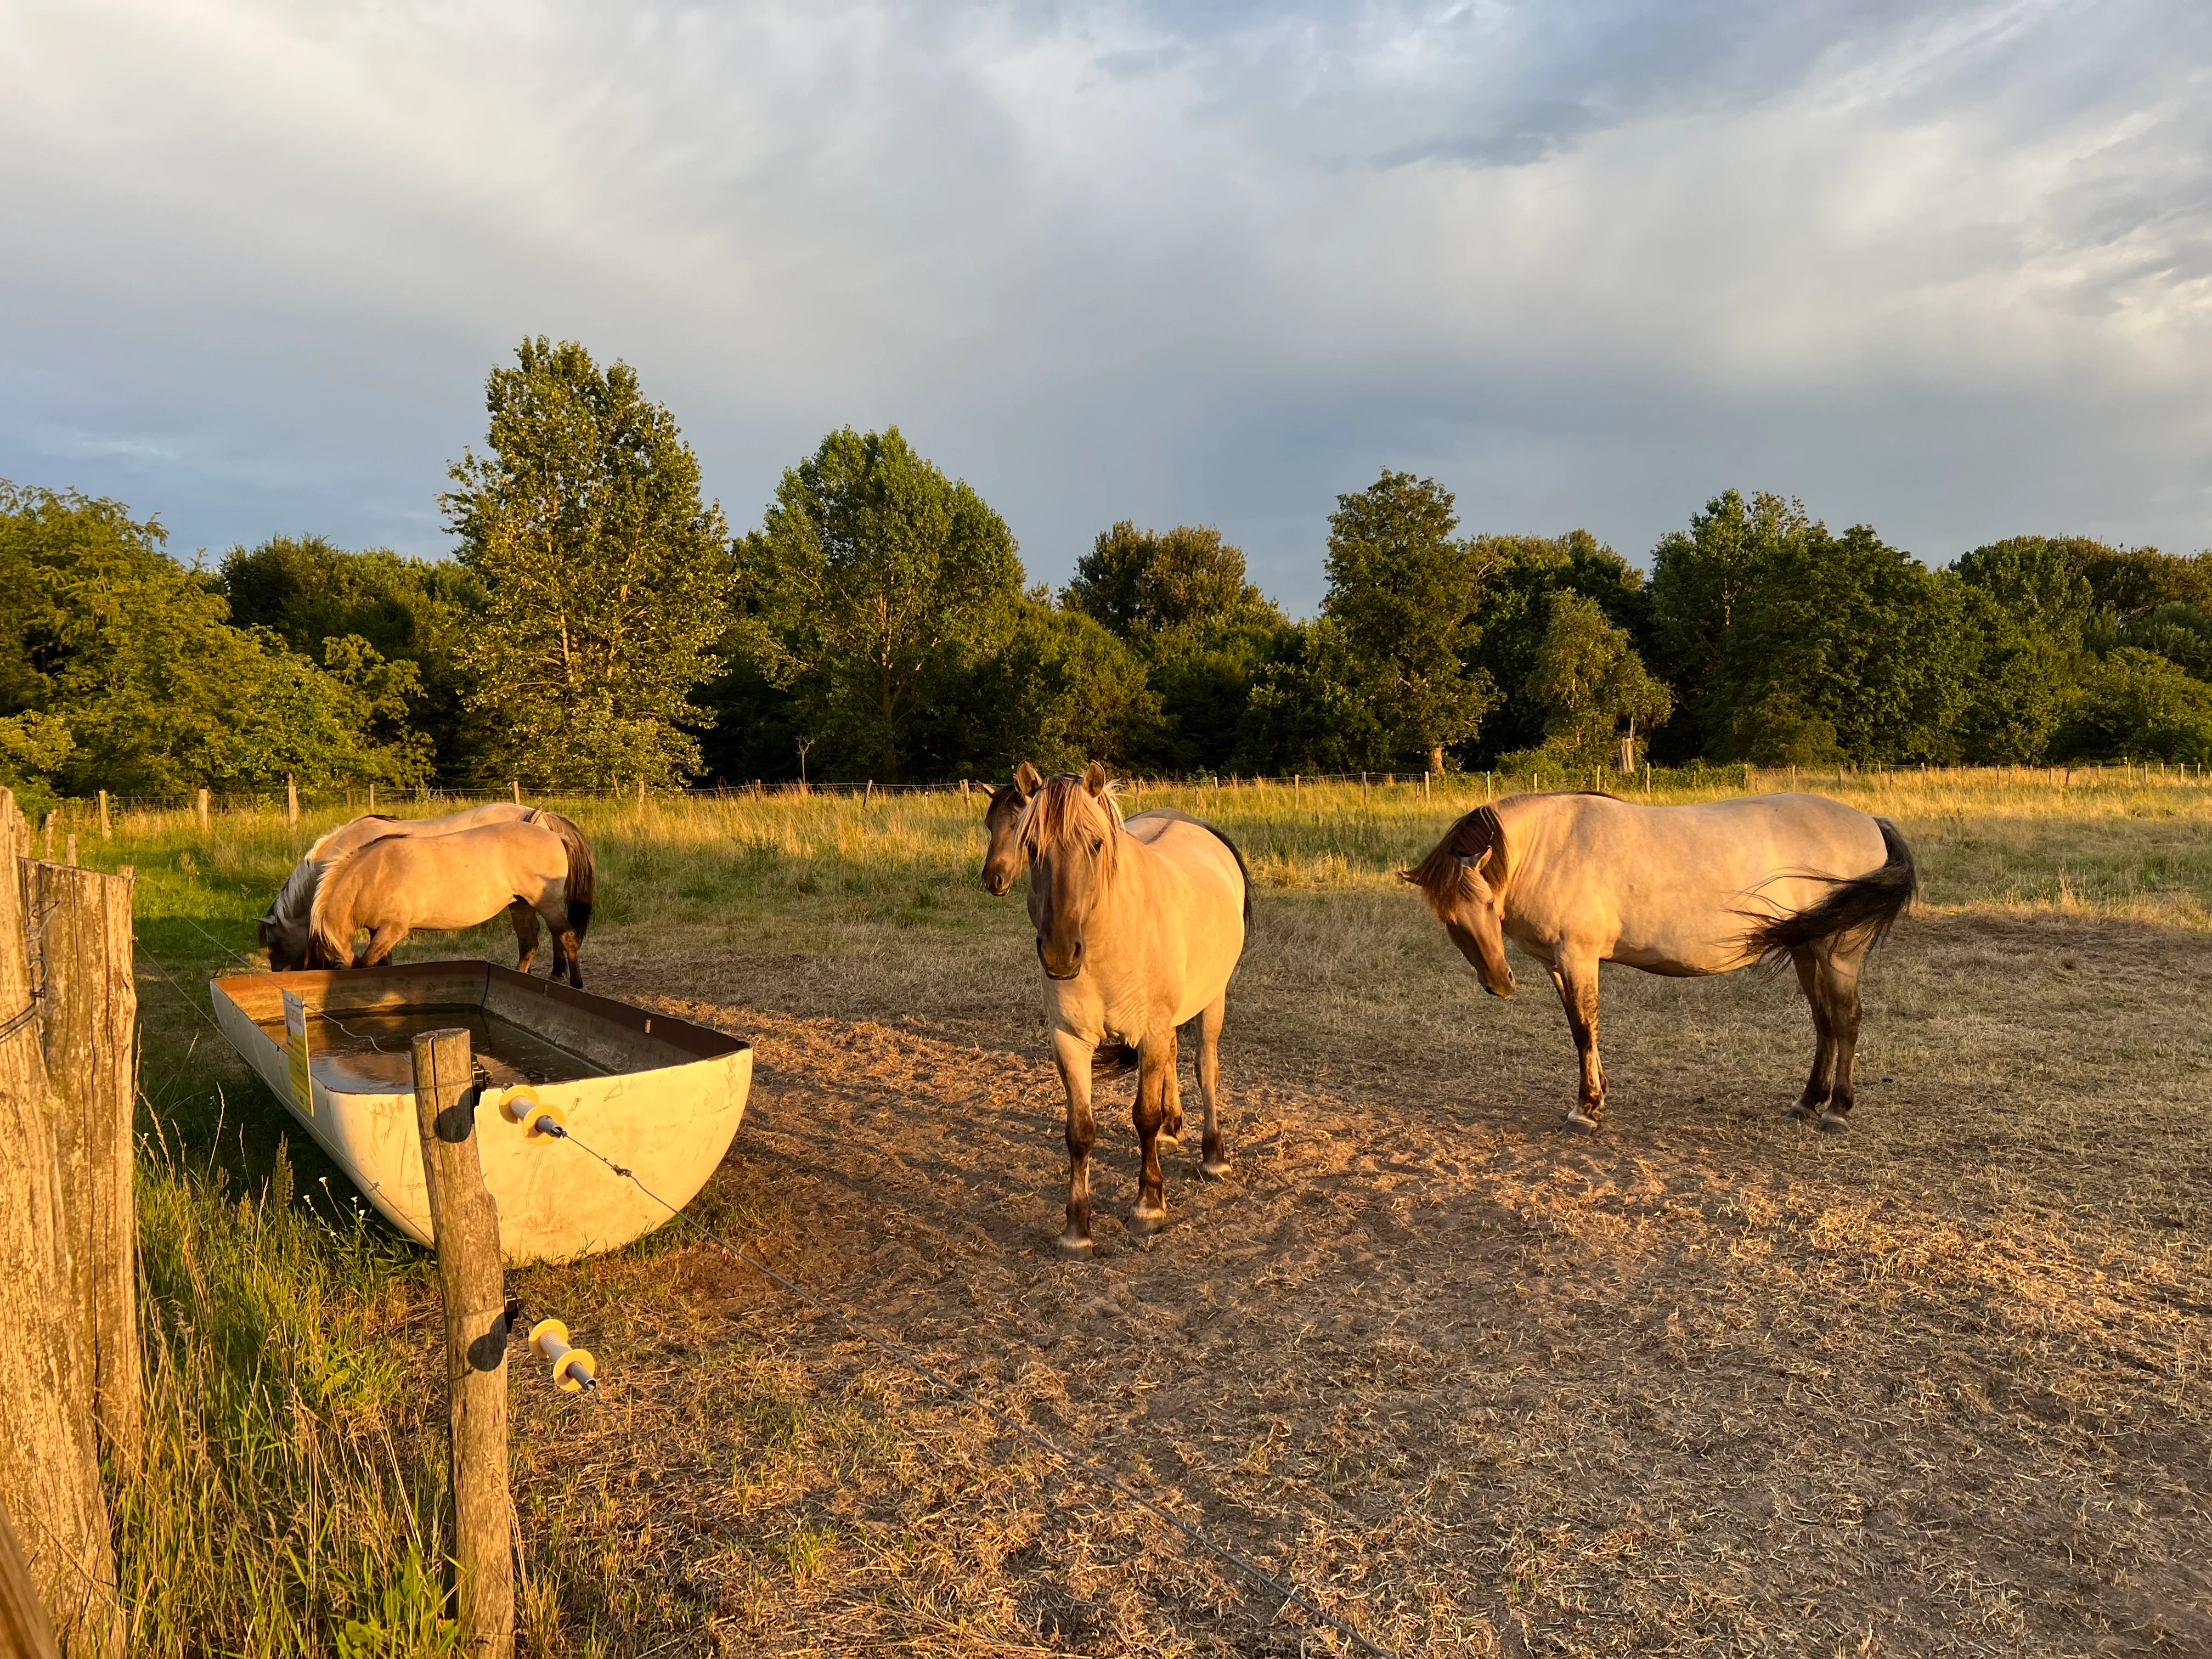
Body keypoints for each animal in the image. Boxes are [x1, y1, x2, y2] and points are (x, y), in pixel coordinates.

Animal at [261, 803, 596, 979]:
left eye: (273, 946)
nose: (281, 976)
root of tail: (543, 821)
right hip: (522, 903)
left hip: (540, 899)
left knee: (559, 933)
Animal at [1020, 763, 1250, 1257]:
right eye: (1030, 847)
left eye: (1096, 843)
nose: (1060, 953)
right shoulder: (1069, 1040)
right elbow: (1079, 1132)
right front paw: (1077, 1229)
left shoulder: (1151, 1029)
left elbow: (1142, 1116)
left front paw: (1149, 1206)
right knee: (1174, 1061)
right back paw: (1172, 1126)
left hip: (1212, 1000)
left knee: (1205, 1066)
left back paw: (1213, 1155)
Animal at [1404, 790, 1915, 1134]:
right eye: (1449, 919)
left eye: (1489, 904)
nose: (1499, 982)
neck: (1552, 848)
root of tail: (1870, 821)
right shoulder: (1557, 963)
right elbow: (1580, 1029)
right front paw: (1597, 1099)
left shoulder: (1577, 957)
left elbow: (1585, 1028)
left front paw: (1584, 1111)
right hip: (1806, 947)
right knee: (1824, 1021)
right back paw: (1808, 1102)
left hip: (1838, 949)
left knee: (1846, 1019)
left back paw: (1836, 1111)